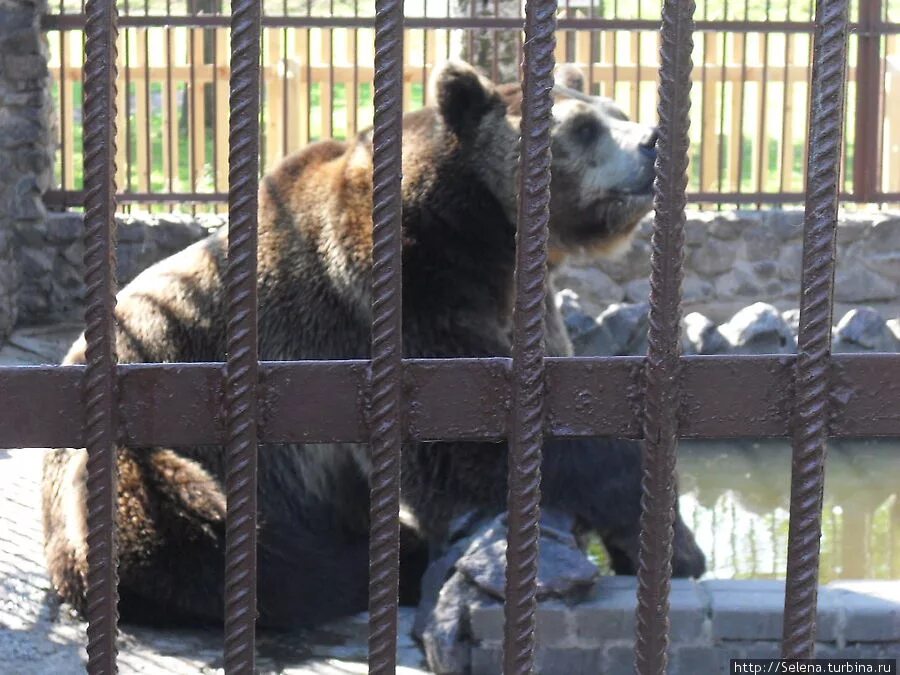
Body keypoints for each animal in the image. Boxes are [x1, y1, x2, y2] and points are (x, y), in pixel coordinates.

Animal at [44, 60, 704, 632]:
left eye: (616, 109)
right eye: (584, 127)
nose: (652, 142)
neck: (483, 230)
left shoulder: (518, 301)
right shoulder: (397, 293)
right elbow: (466, 440)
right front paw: (673, 542)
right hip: (148, 440)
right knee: (203, 529)